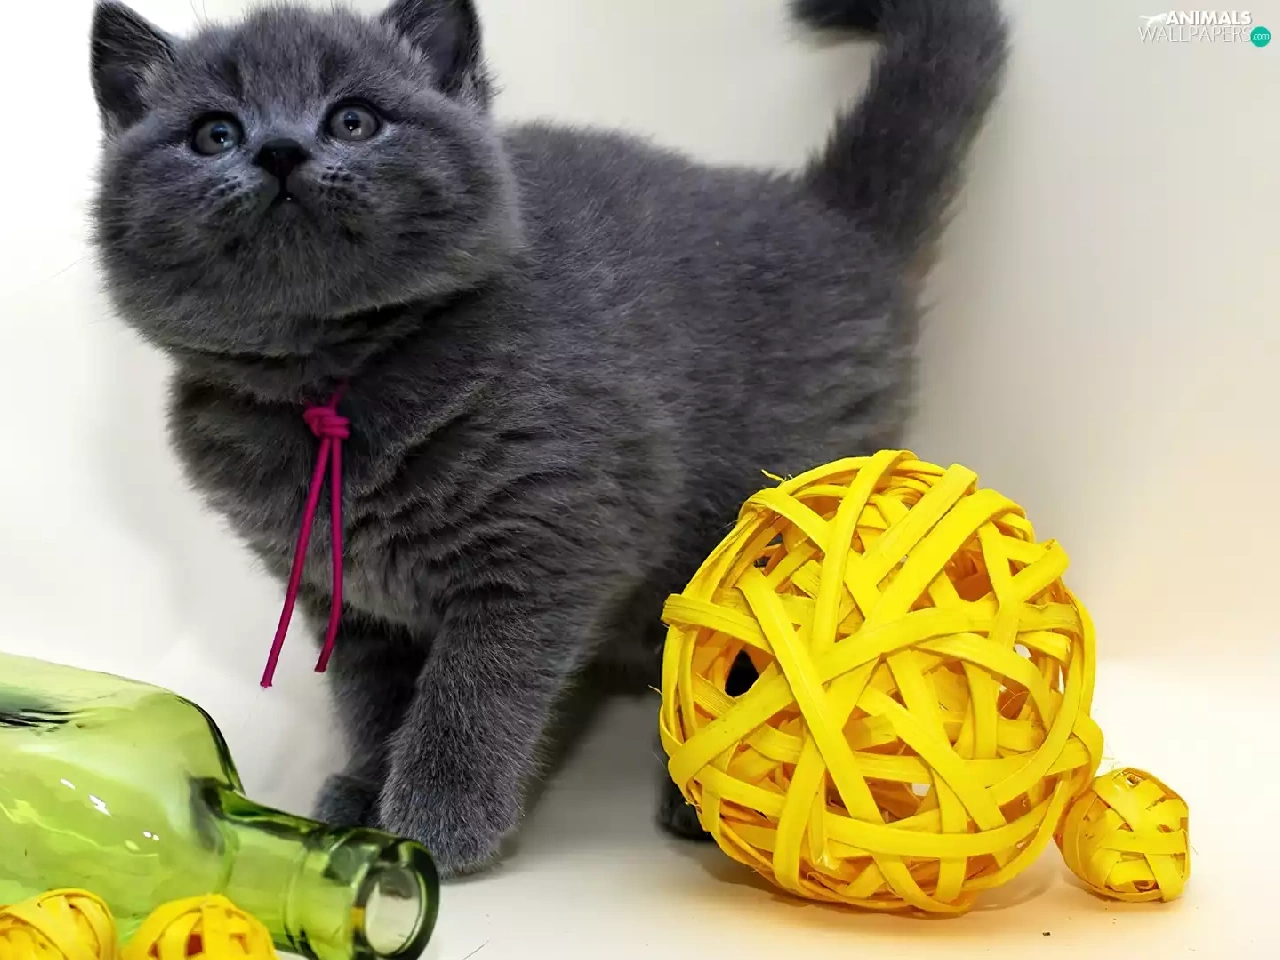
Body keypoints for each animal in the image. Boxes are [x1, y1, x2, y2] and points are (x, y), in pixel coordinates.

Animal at [89, 0, 1008, 876]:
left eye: (354, 120)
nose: (280, 150)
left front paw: (435, 824)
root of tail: (832, 219)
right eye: (214, 133)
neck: (335, 383)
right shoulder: (339, 591)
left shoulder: (540, 546)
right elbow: (371, 696)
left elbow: (472, 696)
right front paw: (365, 793)